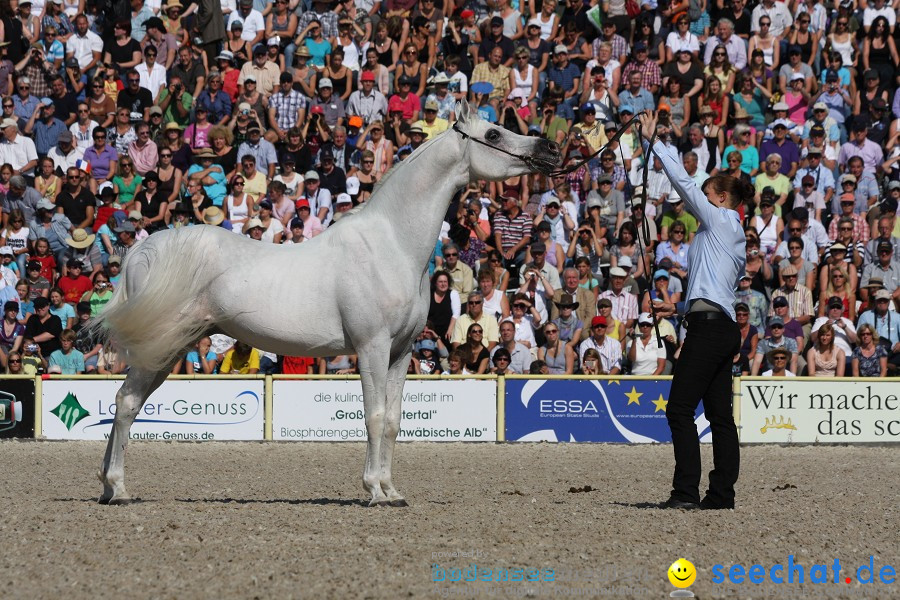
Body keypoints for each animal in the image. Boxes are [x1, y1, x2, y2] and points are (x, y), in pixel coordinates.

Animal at [95, 102, 560, 506]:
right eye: (493, 133)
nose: (550, 149)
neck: (391, 244)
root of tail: (142, 251)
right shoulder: (371, 347)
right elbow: (373, 416)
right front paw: (374, 491)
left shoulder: (400, 352)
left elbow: (394, 421)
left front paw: (392, 491)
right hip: (161, 346)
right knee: (127, 402)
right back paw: (118, 489)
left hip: (168, 348)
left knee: (125, 401)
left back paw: (106, 486)